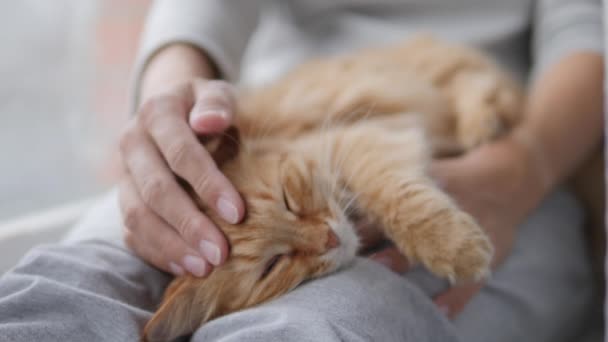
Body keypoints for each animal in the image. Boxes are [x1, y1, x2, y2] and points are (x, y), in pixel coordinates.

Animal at [141, 35, 524, 342]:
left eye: (288, 200)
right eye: (273, 265)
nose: (330, 239)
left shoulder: (361, 138)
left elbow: (396, 199)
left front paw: (457, 250)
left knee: (478, 80)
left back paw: (482, 123)